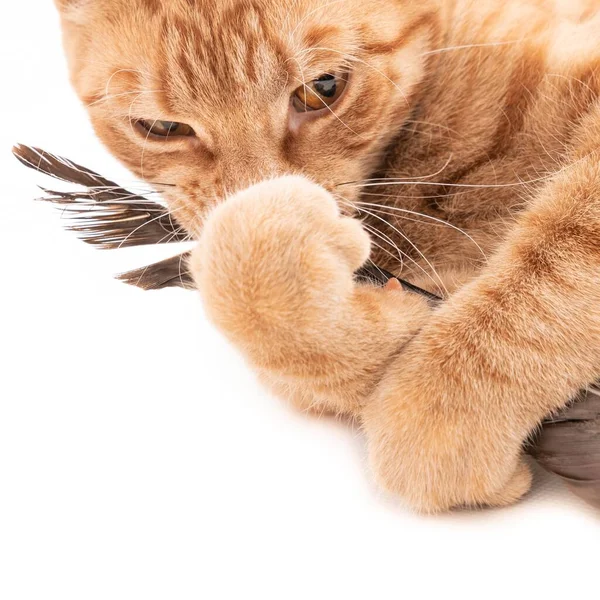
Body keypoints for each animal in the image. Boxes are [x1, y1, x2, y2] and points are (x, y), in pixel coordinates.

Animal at [55, 0, 600, 512]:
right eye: (161, 127)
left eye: (323, 88)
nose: (279, 190)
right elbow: (248, 290)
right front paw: (390, 328)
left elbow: (550, 276)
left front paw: (437, 419)